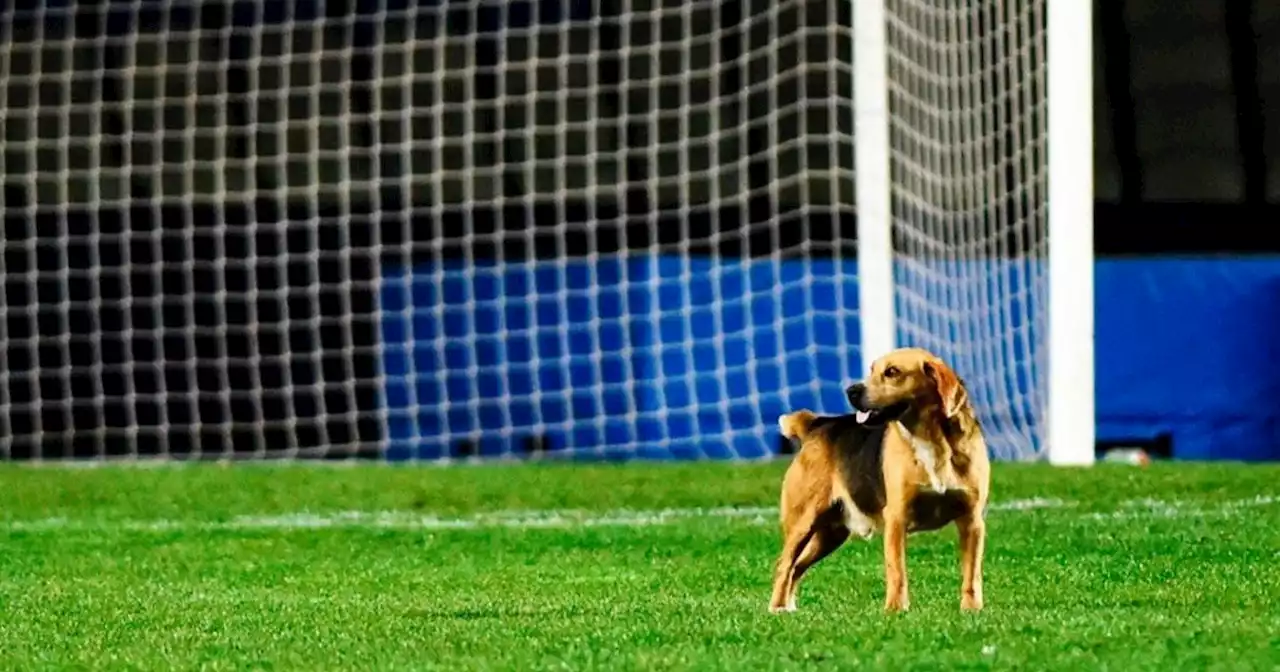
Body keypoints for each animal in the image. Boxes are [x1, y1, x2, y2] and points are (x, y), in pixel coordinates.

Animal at [768, 348, 988, 616]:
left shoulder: (972, 520)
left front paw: (972, 610)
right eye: (872, 370)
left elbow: (972, 574)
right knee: (784, 564)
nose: (851, 390)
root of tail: (816, 424)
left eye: (892, 372)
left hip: (830, 534)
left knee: (797, 566)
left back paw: (788, 606)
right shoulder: (896, 518)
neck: (932, 439)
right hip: (803, 522)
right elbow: (897, 572)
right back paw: (777, 607)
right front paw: (895, 610)